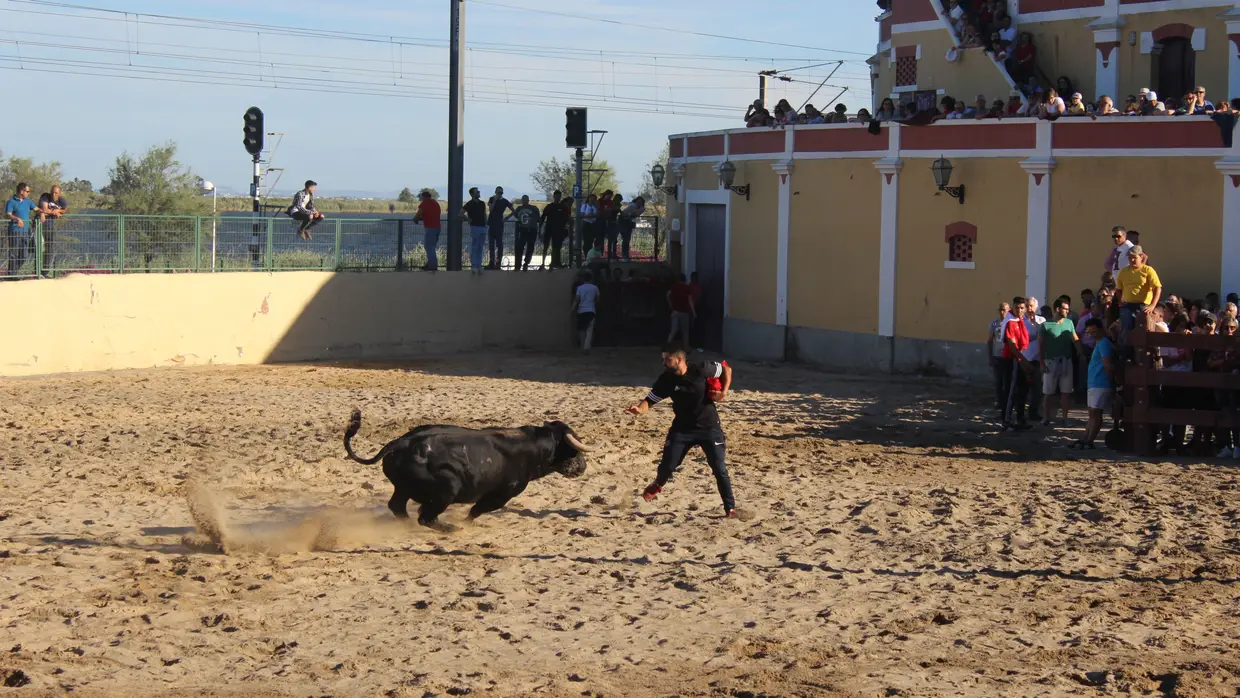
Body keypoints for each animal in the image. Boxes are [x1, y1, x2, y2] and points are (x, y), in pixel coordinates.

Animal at [339, 409, 590, 530]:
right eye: (572, 448)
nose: (584, 466)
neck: (534, 445)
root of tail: (400, 443)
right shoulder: (501, 495)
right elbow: (477, 510)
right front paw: (466, 523)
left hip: (403, 488)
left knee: (398, 506)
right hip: (446, 490)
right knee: (426, 517)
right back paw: (451, 528)